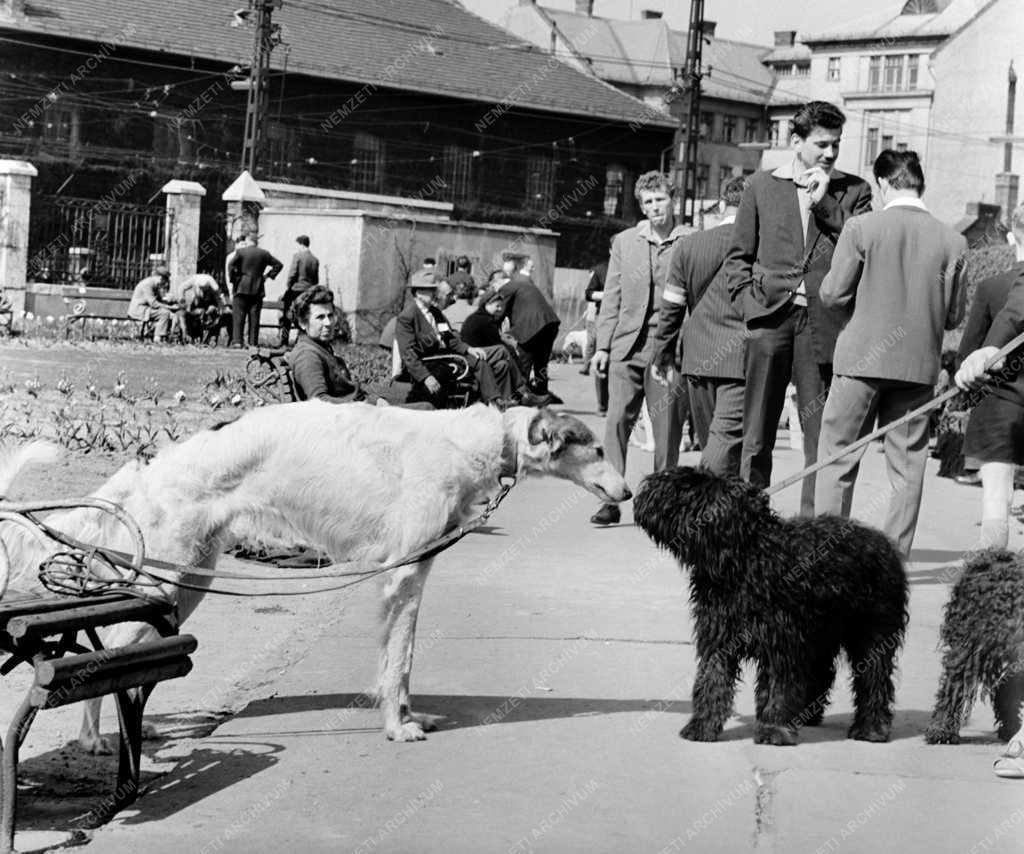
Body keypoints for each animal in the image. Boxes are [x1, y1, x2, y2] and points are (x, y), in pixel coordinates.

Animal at [0, 403, 626, 741]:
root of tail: (152, 464)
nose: (626, 492)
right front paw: (397, 728)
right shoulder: (401, 576)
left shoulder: (415, 573)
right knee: (104, 652)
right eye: (595, 448)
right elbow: (397, 664)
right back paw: (95, 741)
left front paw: (407, 717)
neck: (470, 441)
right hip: (167, 580)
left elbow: (402, 663)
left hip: (189, 581)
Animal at [634, 466, 909, 745]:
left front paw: (774, 729)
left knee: (874, 679)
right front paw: (702, 726)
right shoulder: (718, 637)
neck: (744, 558)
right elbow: (712, 681)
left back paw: (871, 727)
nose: (647, 487)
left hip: (872, 633)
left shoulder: (780, 640)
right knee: (822, 672)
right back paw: (807, 715)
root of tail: (885, 544)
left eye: (687, 487)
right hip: (822, 633)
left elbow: (778, 686)